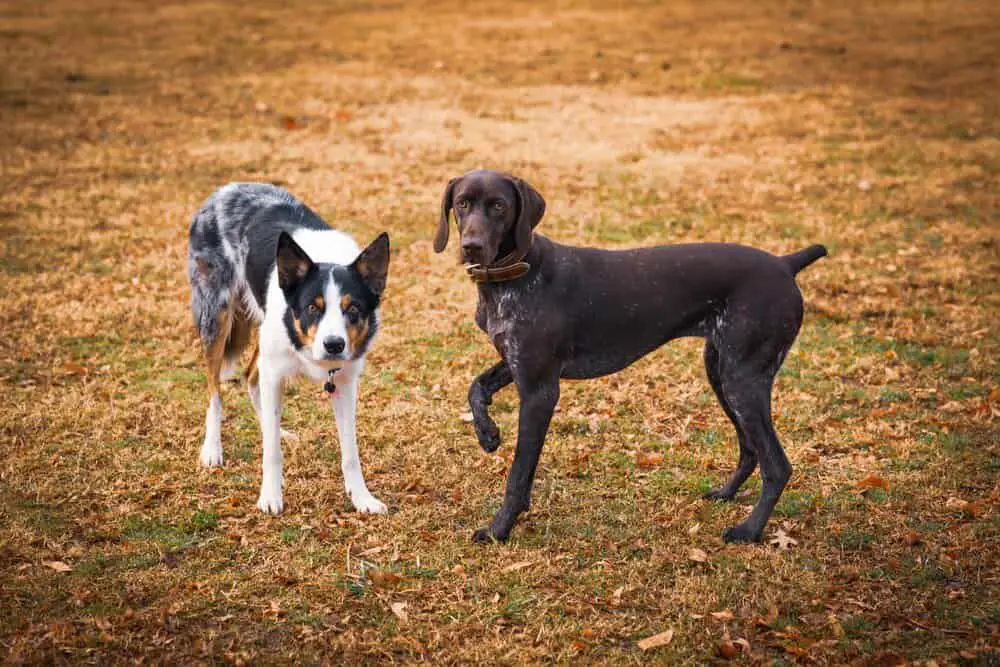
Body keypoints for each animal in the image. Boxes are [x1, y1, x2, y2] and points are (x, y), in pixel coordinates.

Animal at [188, 183, 390, 516]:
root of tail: (225, 189)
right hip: (216, 316)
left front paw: (362, 498)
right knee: (214, 390)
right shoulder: (275, 370)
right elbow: (271, 453)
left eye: (353, 309)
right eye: (312, 307)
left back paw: (273, 428)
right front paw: (270, 496)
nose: (334, 344)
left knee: (251, 377)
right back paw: (212, 448)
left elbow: (350, 453)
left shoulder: (345, 383)